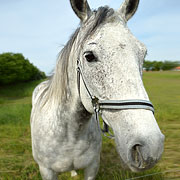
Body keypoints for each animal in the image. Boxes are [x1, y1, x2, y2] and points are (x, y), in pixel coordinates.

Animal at [31, 0, 165, 179]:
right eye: (89, 56)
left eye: (143, 54)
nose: (150, 147)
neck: (71, 135)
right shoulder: (47, 171)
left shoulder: (92, 167)